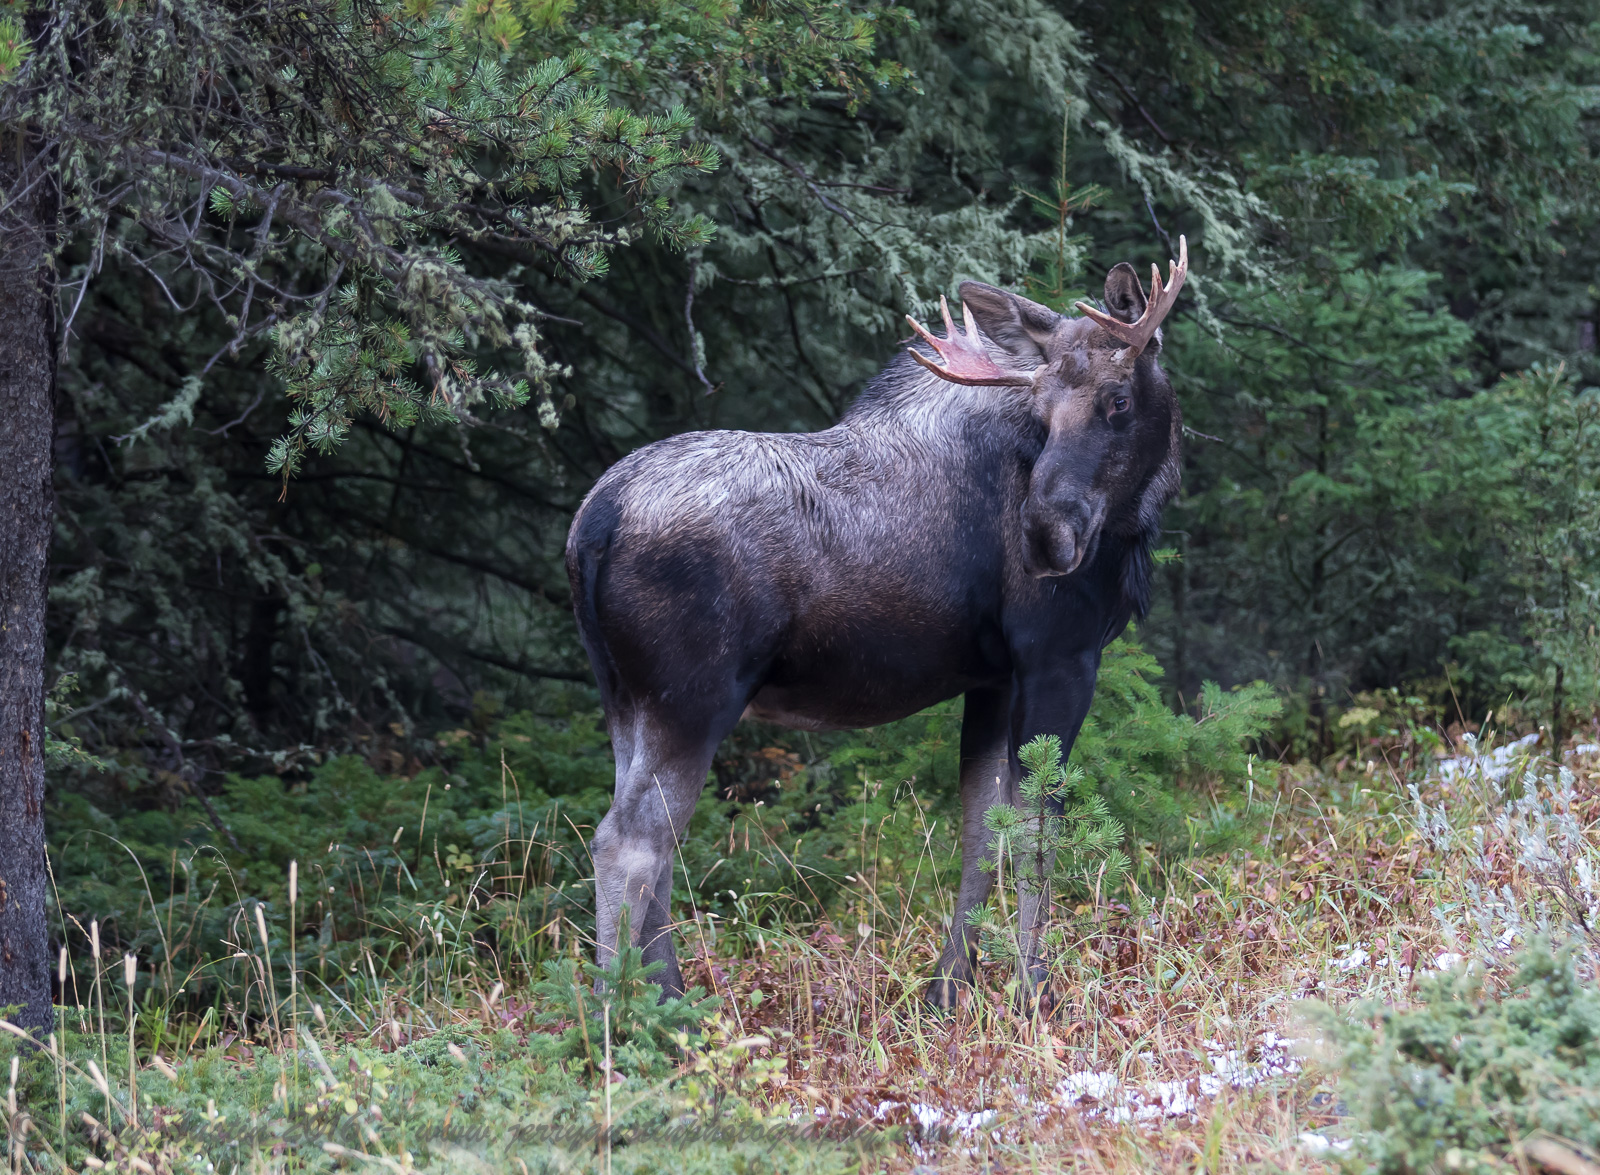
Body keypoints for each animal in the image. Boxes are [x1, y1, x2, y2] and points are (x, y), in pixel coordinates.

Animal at [565, 240, 1187, 1007]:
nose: (1046, 537)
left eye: (1118, 398)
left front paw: (948, 987)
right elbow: (1038, 827)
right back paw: (624, 1016)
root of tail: (590, 527)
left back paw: (672, 1003)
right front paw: (1033, 992)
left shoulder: (993, 678)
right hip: (691, 699)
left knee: (650, 838)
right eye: (1043, 410)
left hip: (624, 698)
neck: (1132, 517)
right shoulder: (1059, 657)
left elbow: (982, 827)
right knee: (630, 843)